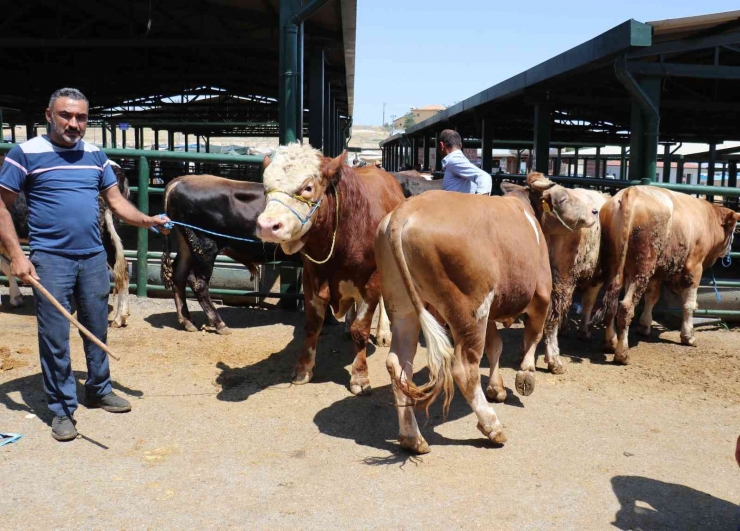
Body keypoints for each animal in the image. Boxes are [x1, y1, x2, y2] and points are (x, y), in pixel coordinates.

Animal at [254, 143, 404, 396]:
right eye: (266, 188)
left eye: (307, 187)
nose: (267, 226)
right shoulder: (311, 277)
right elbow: (312, 325)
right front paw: (303, 369)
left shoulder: (371, 282)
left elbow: (361, 330)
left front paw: (359, 377)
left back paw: (384, 333)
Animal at [376, 186, 600, 454]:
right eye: (564, 197)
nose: (595, 210)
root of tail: (406, 209)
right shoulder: (541, 294)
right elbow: (533, 336)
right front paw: (526, 374)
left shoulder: (492, 312)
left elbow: (496, 347)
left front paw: (497, 387)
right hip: (470, 310)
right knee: (464, 369)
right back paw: (492, 426)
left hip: (403, 308)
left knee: (398, 365)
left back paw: (412, 437)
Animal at [596, 187, 740, 366]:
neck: (707, 218)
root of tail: (631, 192)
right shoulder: (694, 267)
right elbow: (688, 304)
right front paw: (688, 336)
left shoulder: (653, 273)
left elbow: (652, 297)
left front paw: (644, 325)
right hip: (643, 266)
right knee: (626, 307)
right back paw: (622, 354)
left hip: (614, 265)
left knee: (612, 304)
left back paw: (610, 342)